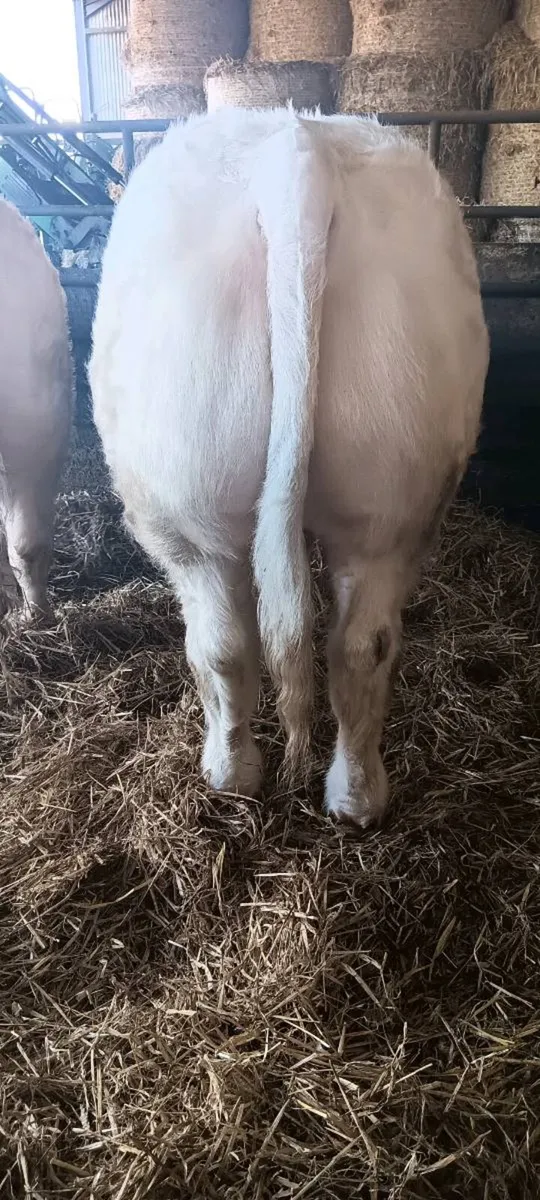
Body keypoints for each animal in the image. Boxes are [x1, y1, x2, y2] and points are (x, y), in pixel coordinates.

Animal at [89, 107, 489, 827]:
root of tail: (297, 153)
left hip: (190, 512)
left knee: (222, 641)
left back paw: (231, 774)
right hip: (390, 497)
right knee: (363, 642)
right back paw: (355, 799)